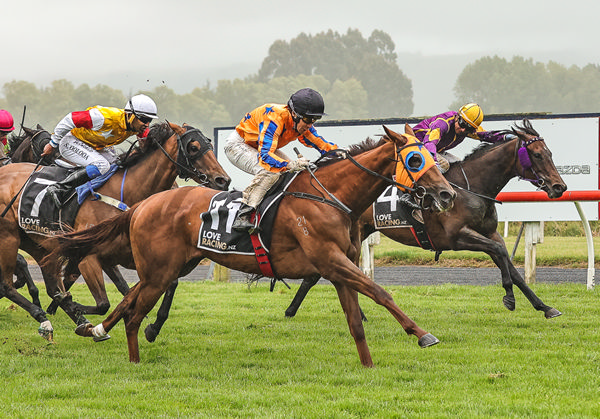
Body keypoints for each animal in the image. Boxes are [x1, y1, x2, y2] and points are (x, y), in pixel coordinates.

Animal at [0, 122, 231, 342]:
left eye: (210, 144)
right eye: (193, 147)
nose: (223, 180)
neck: (126, 191)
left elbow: (145, 285)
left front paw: (152, 326)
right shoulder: (89, 255)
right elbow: (103, 302)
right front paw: (76, 310)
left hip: (36, 243)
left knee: (48, 284)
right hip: (9, 237)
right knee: (8, 285)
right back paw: (44, 316)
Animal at [52, 125, 454, 368]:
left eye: (436, 157)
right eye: (415, 159)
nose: (446, 194)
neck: (330, 196)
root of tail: (143, 205)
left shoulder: (339, 266)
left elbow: (356, 319)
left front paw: (368, 364)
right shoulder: (331, 260)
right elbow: (380, 292)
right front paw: (423, 335)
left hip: (167, 268)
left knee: (128, 301)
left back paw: (96, 329)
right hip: (160, 271)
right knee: (134, 314)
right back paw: (133, 359)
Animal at [286, 120, 568, 320]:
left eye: (550, 153)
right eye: (538, 155)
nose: (559, 187)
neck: (471, 188)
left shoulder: (489, 232)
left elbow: (510, 264)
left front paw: (544, 306)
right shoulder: (457, 237)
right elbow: (499, 254)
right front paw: (509, 298)